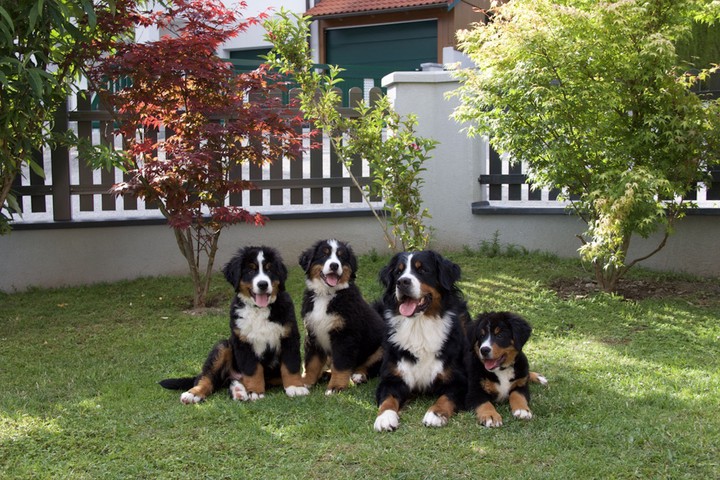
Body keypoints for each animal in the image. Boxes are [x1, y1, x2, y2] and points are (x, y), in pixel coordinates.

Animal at [159, 246, 309, 403]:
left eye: (269, 270)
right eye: (250, 271)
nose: (263, 284)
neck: (259, 310)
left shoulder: (289, 336)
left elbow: (290, 365)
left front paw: (295, 387)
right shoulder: (242, 342)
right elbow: (252, 369)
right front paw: (255, 391)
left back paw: (238, 390)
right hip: (223, 346)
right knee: (207, 377)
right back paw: (194, 393)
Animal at [298, 239, 385, 395]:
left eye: (341, 257)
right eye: (324, 254)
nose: (334, 265)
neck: (327, 295)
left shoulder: (345, 336)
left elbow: (340, 364)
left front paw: (335, 387)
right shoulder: (312, 334)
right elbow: (311, 363)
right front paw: (306, 382)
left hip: (381, 348)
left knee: (372, 367)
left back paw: (358, 375)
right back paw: (324, 375)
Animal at [374, 250, 470, 432]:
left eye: (423, 270)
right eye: (398, 272)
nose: (402, 282)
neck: (419, 326)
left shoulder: (459, 380)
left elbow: (446, 397)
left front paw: (435, 414)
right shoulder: (392, 378)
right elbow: (387, 399)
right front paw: (385, 417)